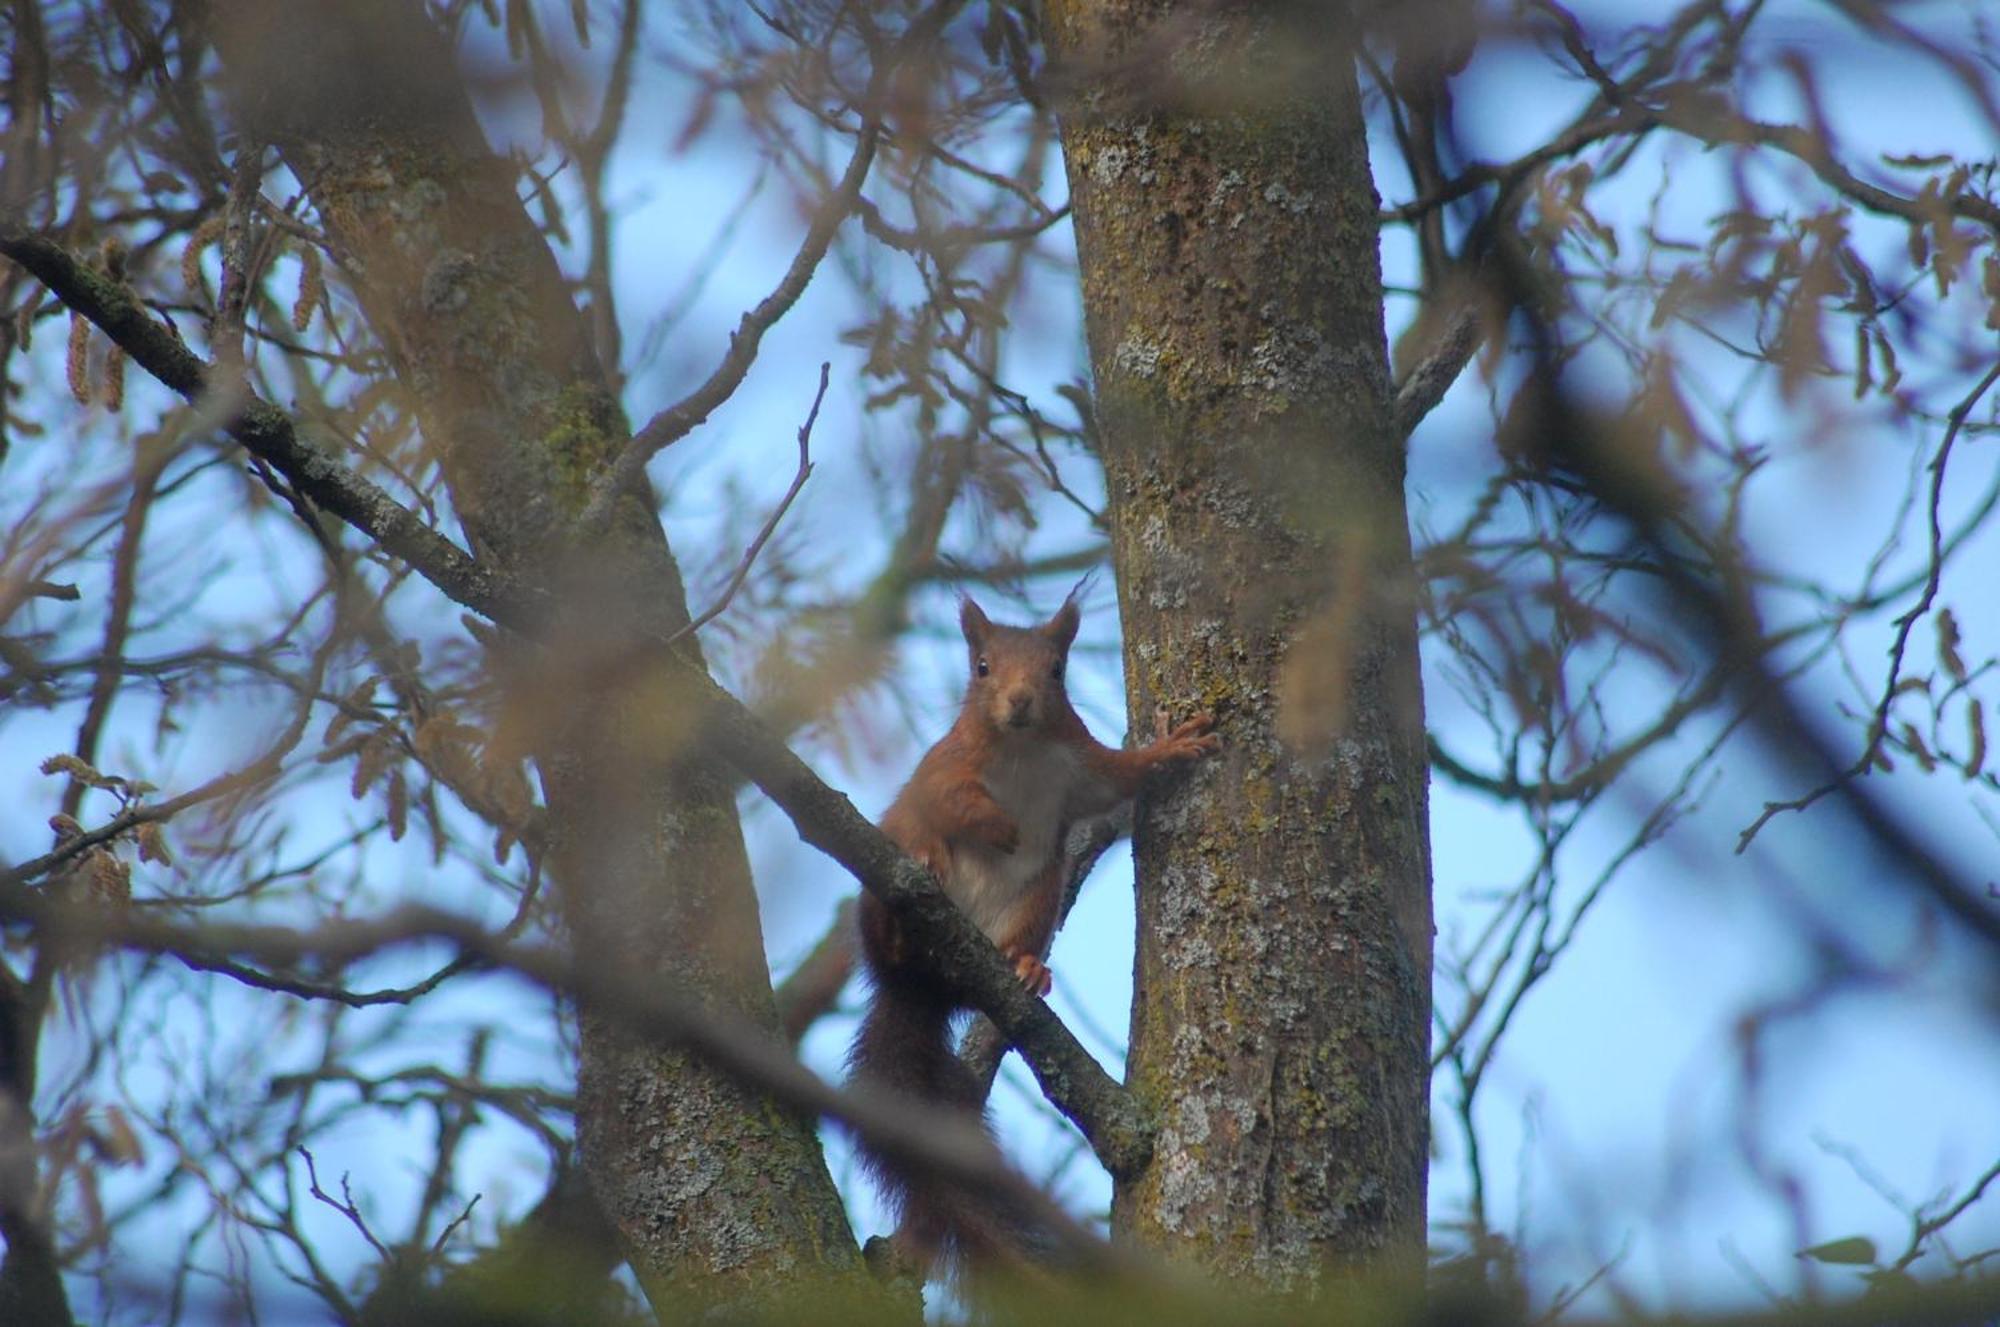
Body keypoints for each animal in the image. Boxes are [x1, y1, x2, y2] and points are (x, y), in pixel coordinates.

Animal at [848, 595, 1216, 1271]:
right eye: (982, 667)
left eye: (1056, 670)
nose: (1019, 700)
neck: (1020, 750)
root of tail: (918, 989)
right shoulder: (943, 767)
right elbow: (951, 799)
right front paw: (999, 825)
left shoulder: (1082, 769)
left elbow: (1120, 778)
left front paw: (1172, 748)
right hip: (891, 878)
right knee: (905, 888)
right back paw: (902, 920)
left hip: (1038, 899)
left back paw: (1025, 966)